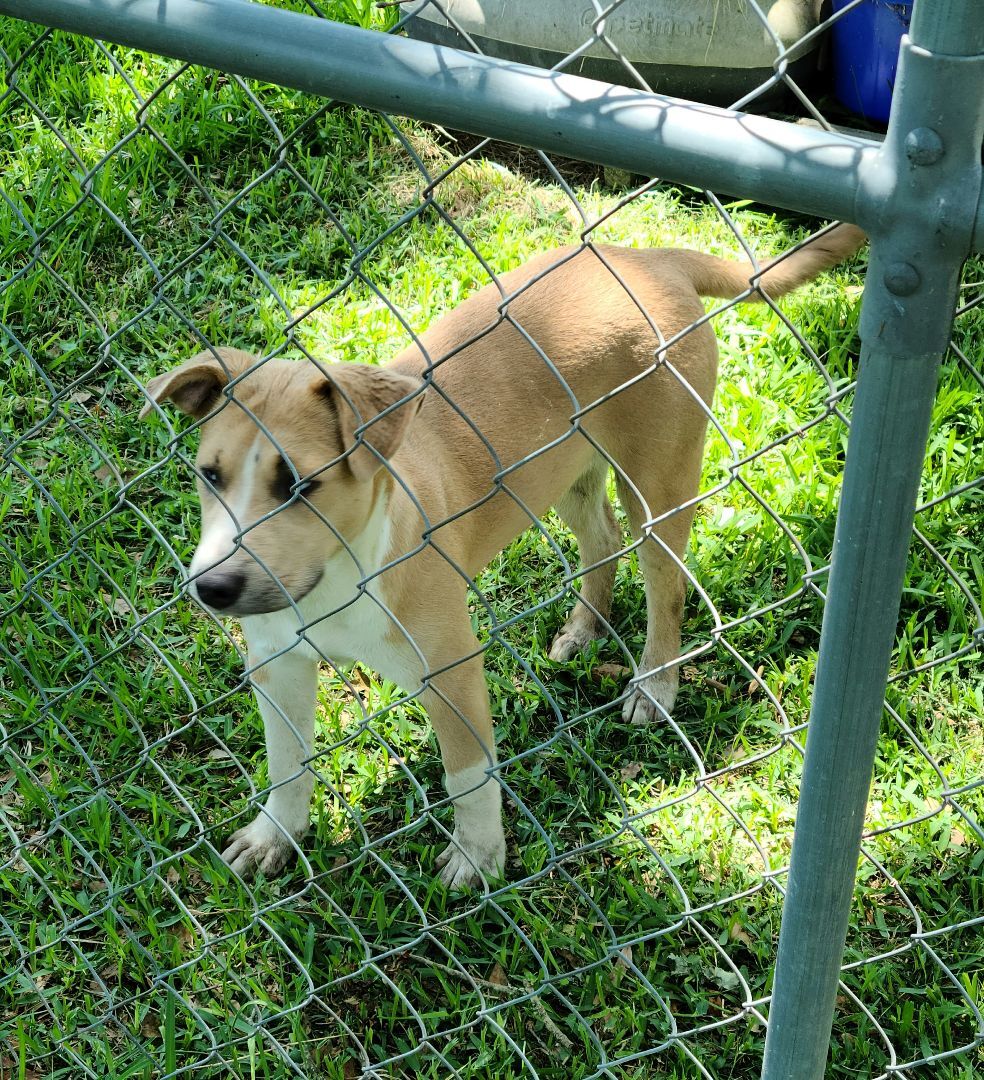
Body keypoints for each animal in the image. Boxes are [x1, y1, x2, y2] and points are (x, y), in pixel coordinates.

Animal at [142, 225, 864, 885]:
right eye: (209, 475)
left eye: (299, 485)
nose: (212, 589)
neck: (336, 579)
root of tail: (647, 256)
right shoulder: (278, 663)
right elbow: (286, 763)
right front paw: (275, 835)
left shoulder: (450, 671)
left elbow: (468, 775)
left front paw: (477, 857)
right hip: (562, 470)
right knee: (601, 540)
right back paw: (584, 629)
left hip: (659, 482)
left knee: (666, 588)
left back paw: (655, 685)